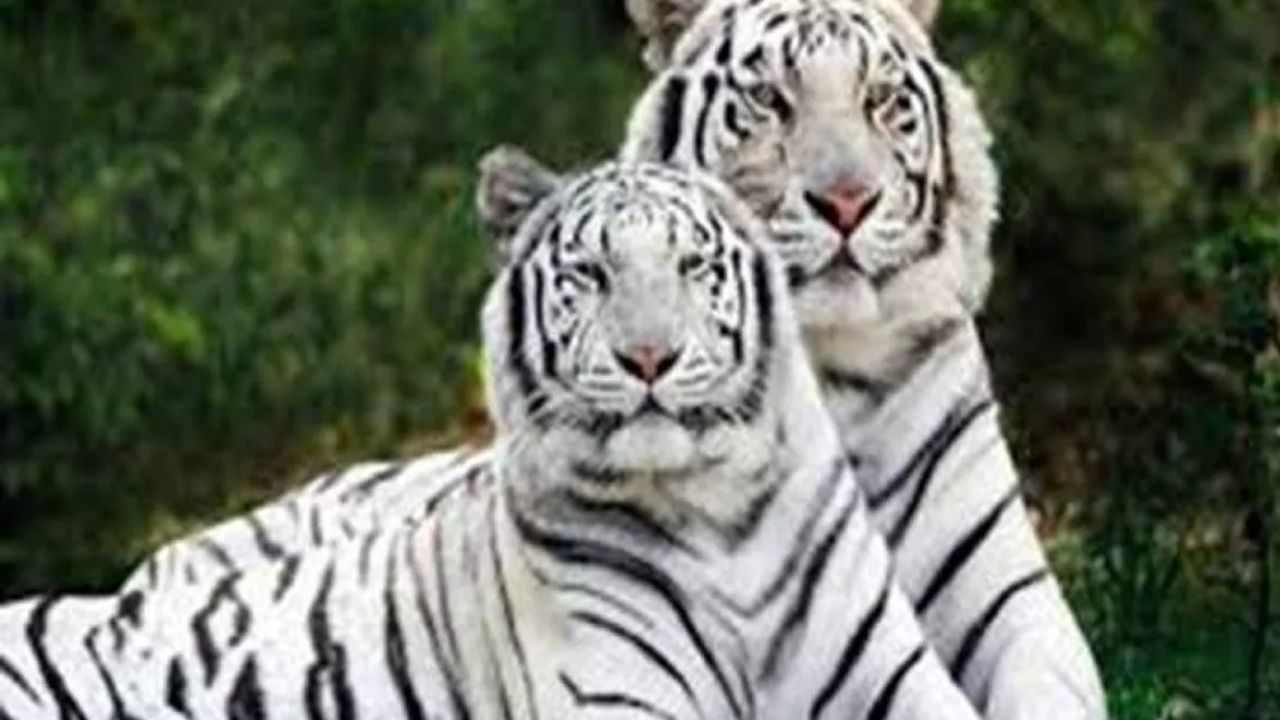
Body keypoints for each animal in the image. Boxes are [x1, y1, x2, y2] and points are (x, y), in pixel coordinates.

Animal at [0, 161, 985, 720]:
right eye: (591, 274)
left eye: (692, 266)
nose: (649, 358)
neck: (717, 515)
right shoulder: (617, 700)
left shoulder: (900, 678)